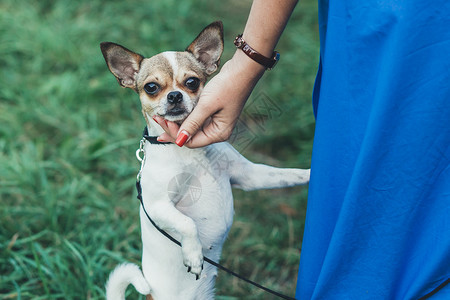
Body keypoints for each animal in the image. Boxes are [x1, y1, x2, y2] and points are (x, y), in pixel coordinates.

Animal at [99, 21, 310, 300]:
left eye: (192, 82)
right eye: (151, 87)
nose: (175, 96)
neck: (185, 148)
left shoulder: (250, 176)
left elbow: (286, 174)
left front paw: (312, 174)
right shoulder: (158, 205)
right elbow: (187, 223)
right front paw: (194, 255)